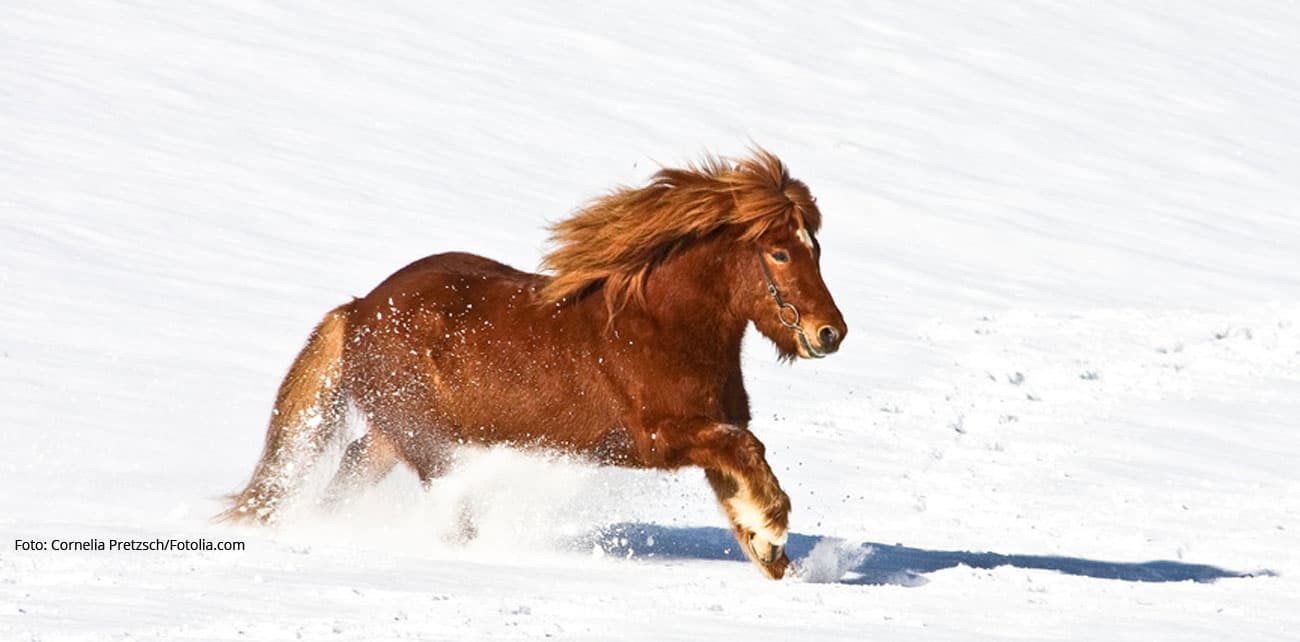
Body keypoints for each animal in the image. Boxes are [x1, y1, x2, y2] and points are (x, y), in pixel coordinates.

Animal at [220, 149, 852, 577]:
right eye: (780, 252)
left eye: (816, 248)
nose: (831, 333)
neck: (661, 328)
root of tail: (357, 311)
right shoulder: (659, 439)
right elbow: (750, 452)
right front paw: (774, 525)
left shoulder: (708, 434)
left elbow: (740, 480)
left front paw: (771, 553)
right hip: (428, 444)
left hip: (391, 438)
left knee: (346, 476)